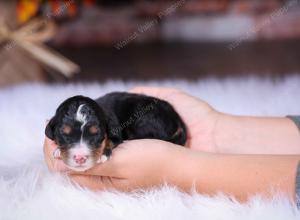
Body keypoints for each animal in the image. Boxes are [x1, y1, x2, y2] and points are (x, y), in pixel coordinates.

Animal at [45, 92, 186, 171]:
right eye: (64, 134)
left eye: (96, 134)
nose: (80, 158)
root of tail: (177, 120)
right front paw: (58, 150)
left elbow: (111, 140)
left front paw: (103, 154)